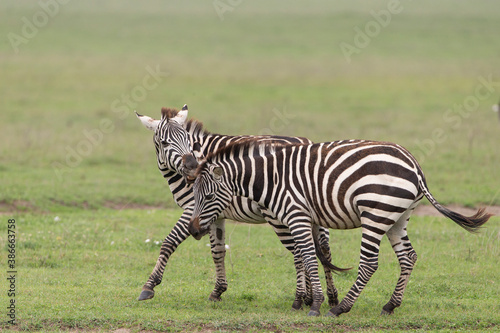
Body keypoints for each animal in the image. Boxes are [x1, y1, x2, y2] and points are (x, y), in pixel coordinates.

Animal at [135, 104, 344, 308]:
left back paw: (304, 298)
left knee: (300, 251)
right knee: (323, 248)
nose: (194, 168)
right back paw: (329, 297)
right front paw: (218, 291)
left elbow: (169, 242)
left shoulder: (193, 207)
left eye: (188, 140)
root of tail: (306, 141)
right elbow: (217, 251)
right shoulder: (215, 214)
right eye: (164, 143)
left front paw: (149, 286)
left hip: (281, 216)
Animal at [188, 139, 492, 316]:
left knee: (369, 263)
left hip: (375, 214)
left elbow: (309, 259)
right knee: (409, 257)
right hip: (398, 217)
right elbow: (307, 257)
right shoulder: (304, 219)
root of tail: (414, 165)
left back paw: (343, 308)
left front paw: (316, 305)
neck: (270, 179)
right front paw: (306, 299)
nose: (193, 231)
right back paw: (390, 305)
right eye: (195, 195)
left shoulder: (297, 215)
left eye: (208, 196)